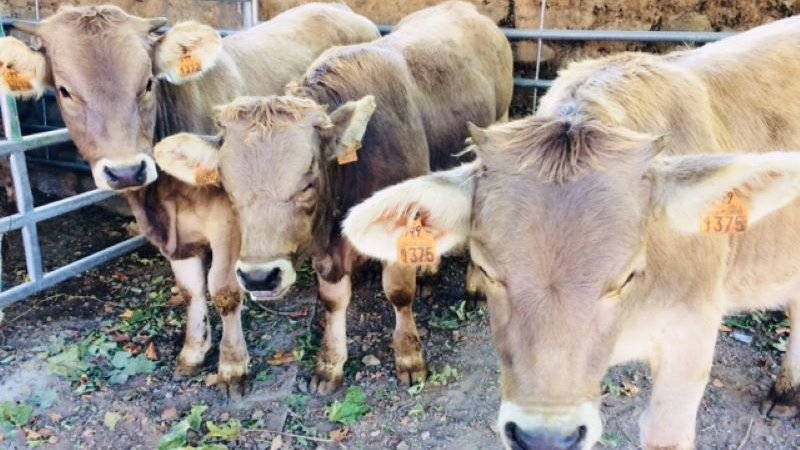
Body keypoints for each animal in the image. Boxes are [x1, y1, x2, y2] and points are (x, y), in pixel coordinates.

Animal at [0, 3, 379, 396]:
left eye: (147, 83)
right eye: (65, 91)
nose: (126, 171)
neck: (166, 193)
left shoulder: (227, 224)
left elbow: (224, 290)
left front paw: (232, 367)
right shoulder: (167, 231)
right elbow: (190, 289)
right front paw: (194, 350)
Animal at [152, 1, 513, 394]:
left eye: (308, 183)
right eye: (229, 188)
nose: (260, 277)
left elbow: (399, 293)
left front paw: (409, 357)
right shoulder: (326, 244)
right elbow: (332, 300)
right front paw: (329, 364)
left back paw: (475, 285)